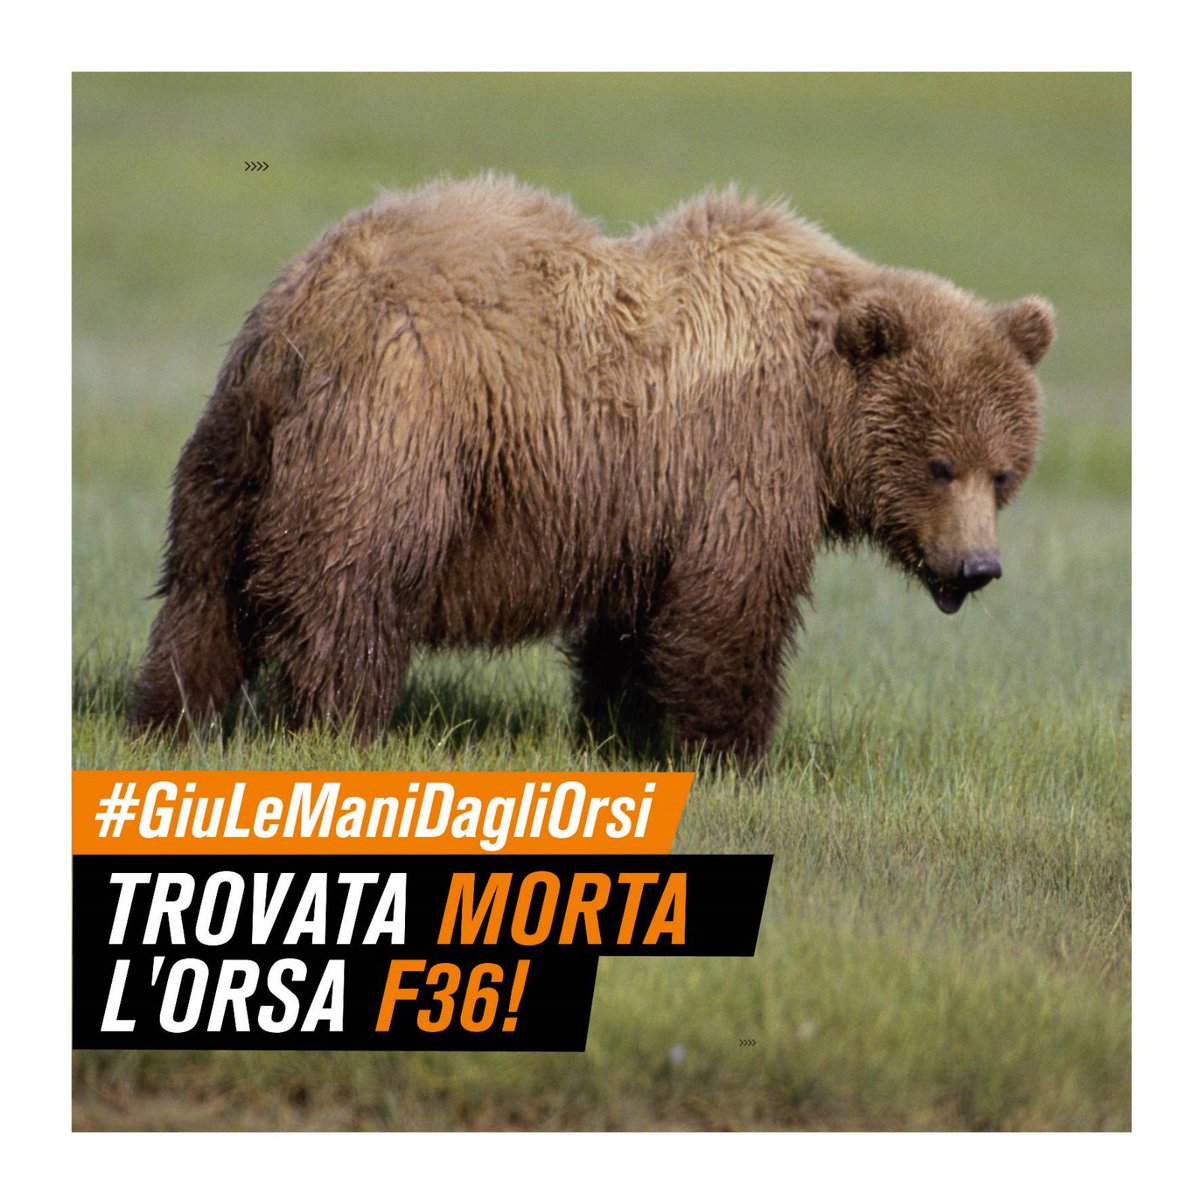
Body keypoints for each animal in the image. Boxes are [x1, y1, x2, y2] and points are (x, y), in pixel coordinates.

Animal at [132, 175, 1054, 764]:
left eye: (1005, 473)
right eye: (940, 464)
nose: (977, 567)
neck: (819, 405)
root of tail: (306, 308)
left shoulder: (645, 499)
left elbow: (636, 626)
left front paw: (624, 729)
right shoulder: (744, 457)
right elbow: (732, 605)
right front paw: (736, 755)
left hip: (235, 446)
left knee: (202, 589)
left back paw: (170, 713)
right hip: (397, 427)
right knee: (350, 582)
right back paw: (341, 724)